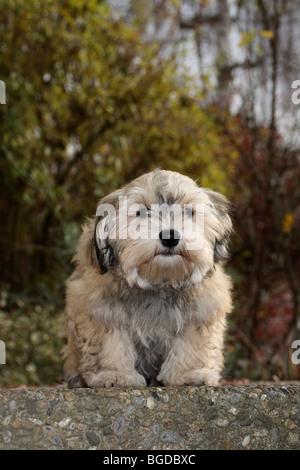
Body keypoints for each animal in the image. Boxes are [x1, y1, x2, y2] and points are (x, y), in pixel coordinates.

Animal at [62, 171, 232, 388]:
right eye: (141, 212)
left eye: (189, 212)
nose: (170, 237)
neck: (159, 283)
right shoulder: (99, 309)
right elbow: (110, 342)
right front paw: (113, 374)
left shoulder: (203, 309)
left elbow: (193, 342)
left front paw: (189, 374)